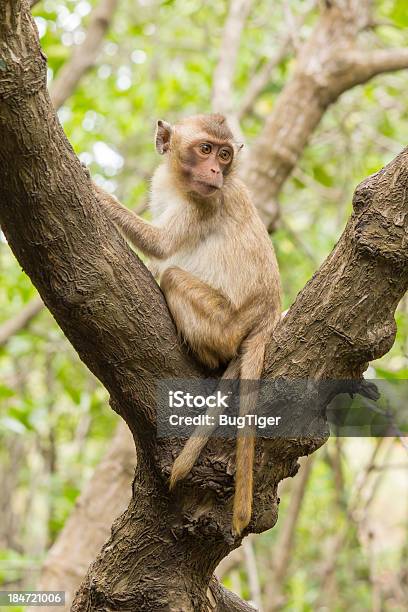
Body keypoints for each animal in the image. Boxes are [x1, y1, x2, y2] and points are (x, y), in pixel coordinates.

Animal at [94, 115, 282, 536]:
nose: (215, 171)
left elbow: (162, 246)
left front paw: (98, 194)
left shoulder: (203, 204)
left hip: (223, 324)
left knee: (174, 277)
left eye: (225, 155)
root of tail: (267, 316)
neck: (179, 183)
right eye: (206, 149)